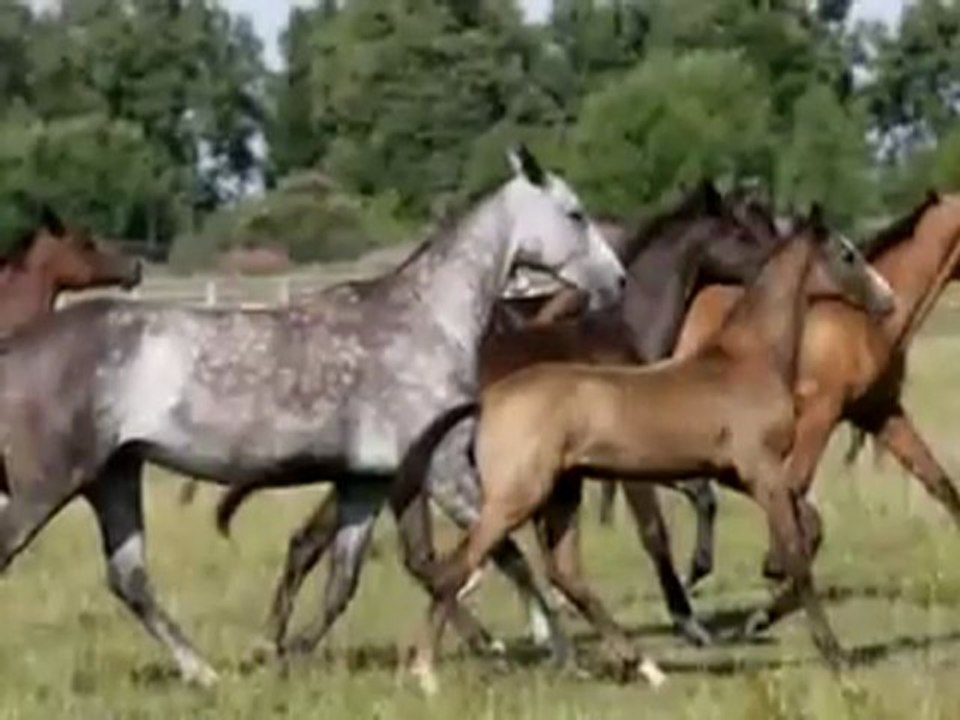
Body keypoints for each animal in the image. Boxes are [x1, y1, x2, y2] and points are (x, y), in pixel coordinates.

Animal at [245, 181, 812, 660]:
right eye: (743, 231)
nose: (787, 269)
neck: (613, 332)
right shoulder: (627, 464)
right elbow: (655, 530)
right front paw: (688, 616)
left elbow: (698, 497)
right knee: (389, 554)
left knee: (319, 545)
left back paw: (284, 642)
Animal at [393, 207, 894, 694]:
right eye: (847, 255)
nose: (887, 301)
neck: (746, 359)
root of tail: (485, 400)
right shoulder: (761, 471)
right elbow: (796, 553)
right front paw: (835, 656)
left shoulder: (740, 473)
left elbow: (809, 525)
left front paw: (762, 611)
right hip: (515, 496)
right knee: (459, 565)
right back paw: (428, 669)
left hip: (562, 493)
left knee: (562, 573)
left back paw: (645, 667)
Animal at [671, 191, 960, 610]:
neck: (865, 322)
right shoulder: (820, 414)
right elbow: (796, 485)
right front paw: (776, 568)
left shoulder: (880, 413)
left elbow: (940, 483)